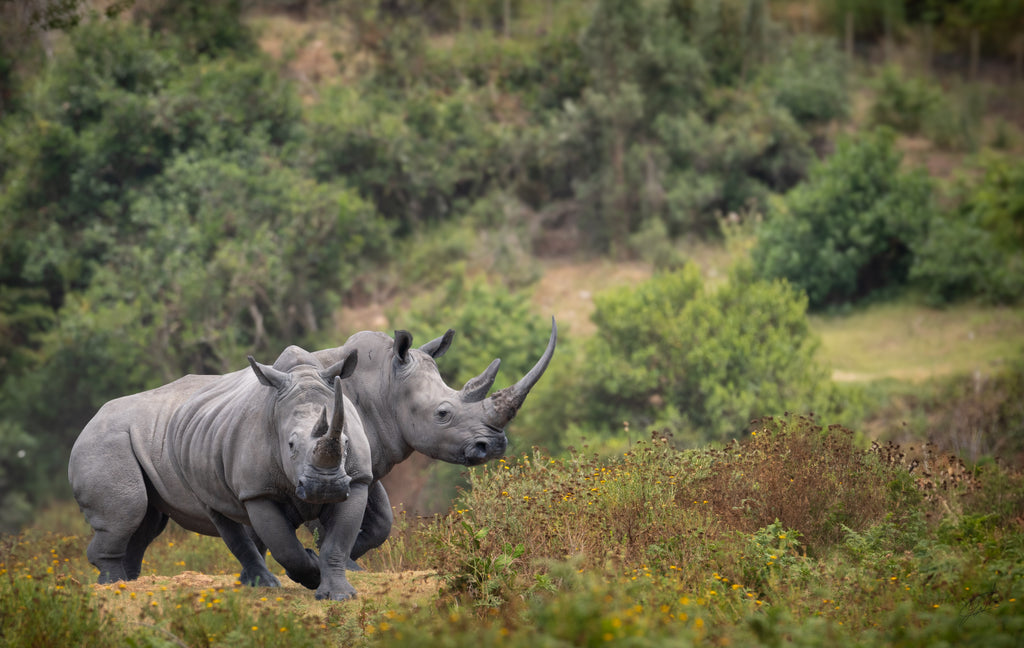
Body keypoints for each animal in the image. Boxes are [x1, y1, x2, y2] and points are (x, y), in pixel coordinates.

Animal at [68, 345, 372, 600]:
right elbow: (286, 548)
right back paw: (113, 587)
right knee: (131, 511)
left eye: (346, 443)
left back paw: (129, 584)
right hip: (104, 443)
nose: (325, 487)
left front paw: (340, 595)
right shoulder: (257, 491)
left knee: (148, 523)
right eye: (291, 445)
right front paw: (312, 570)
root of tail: (87, 424)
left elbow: (337, 544)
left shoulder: (357, 481)